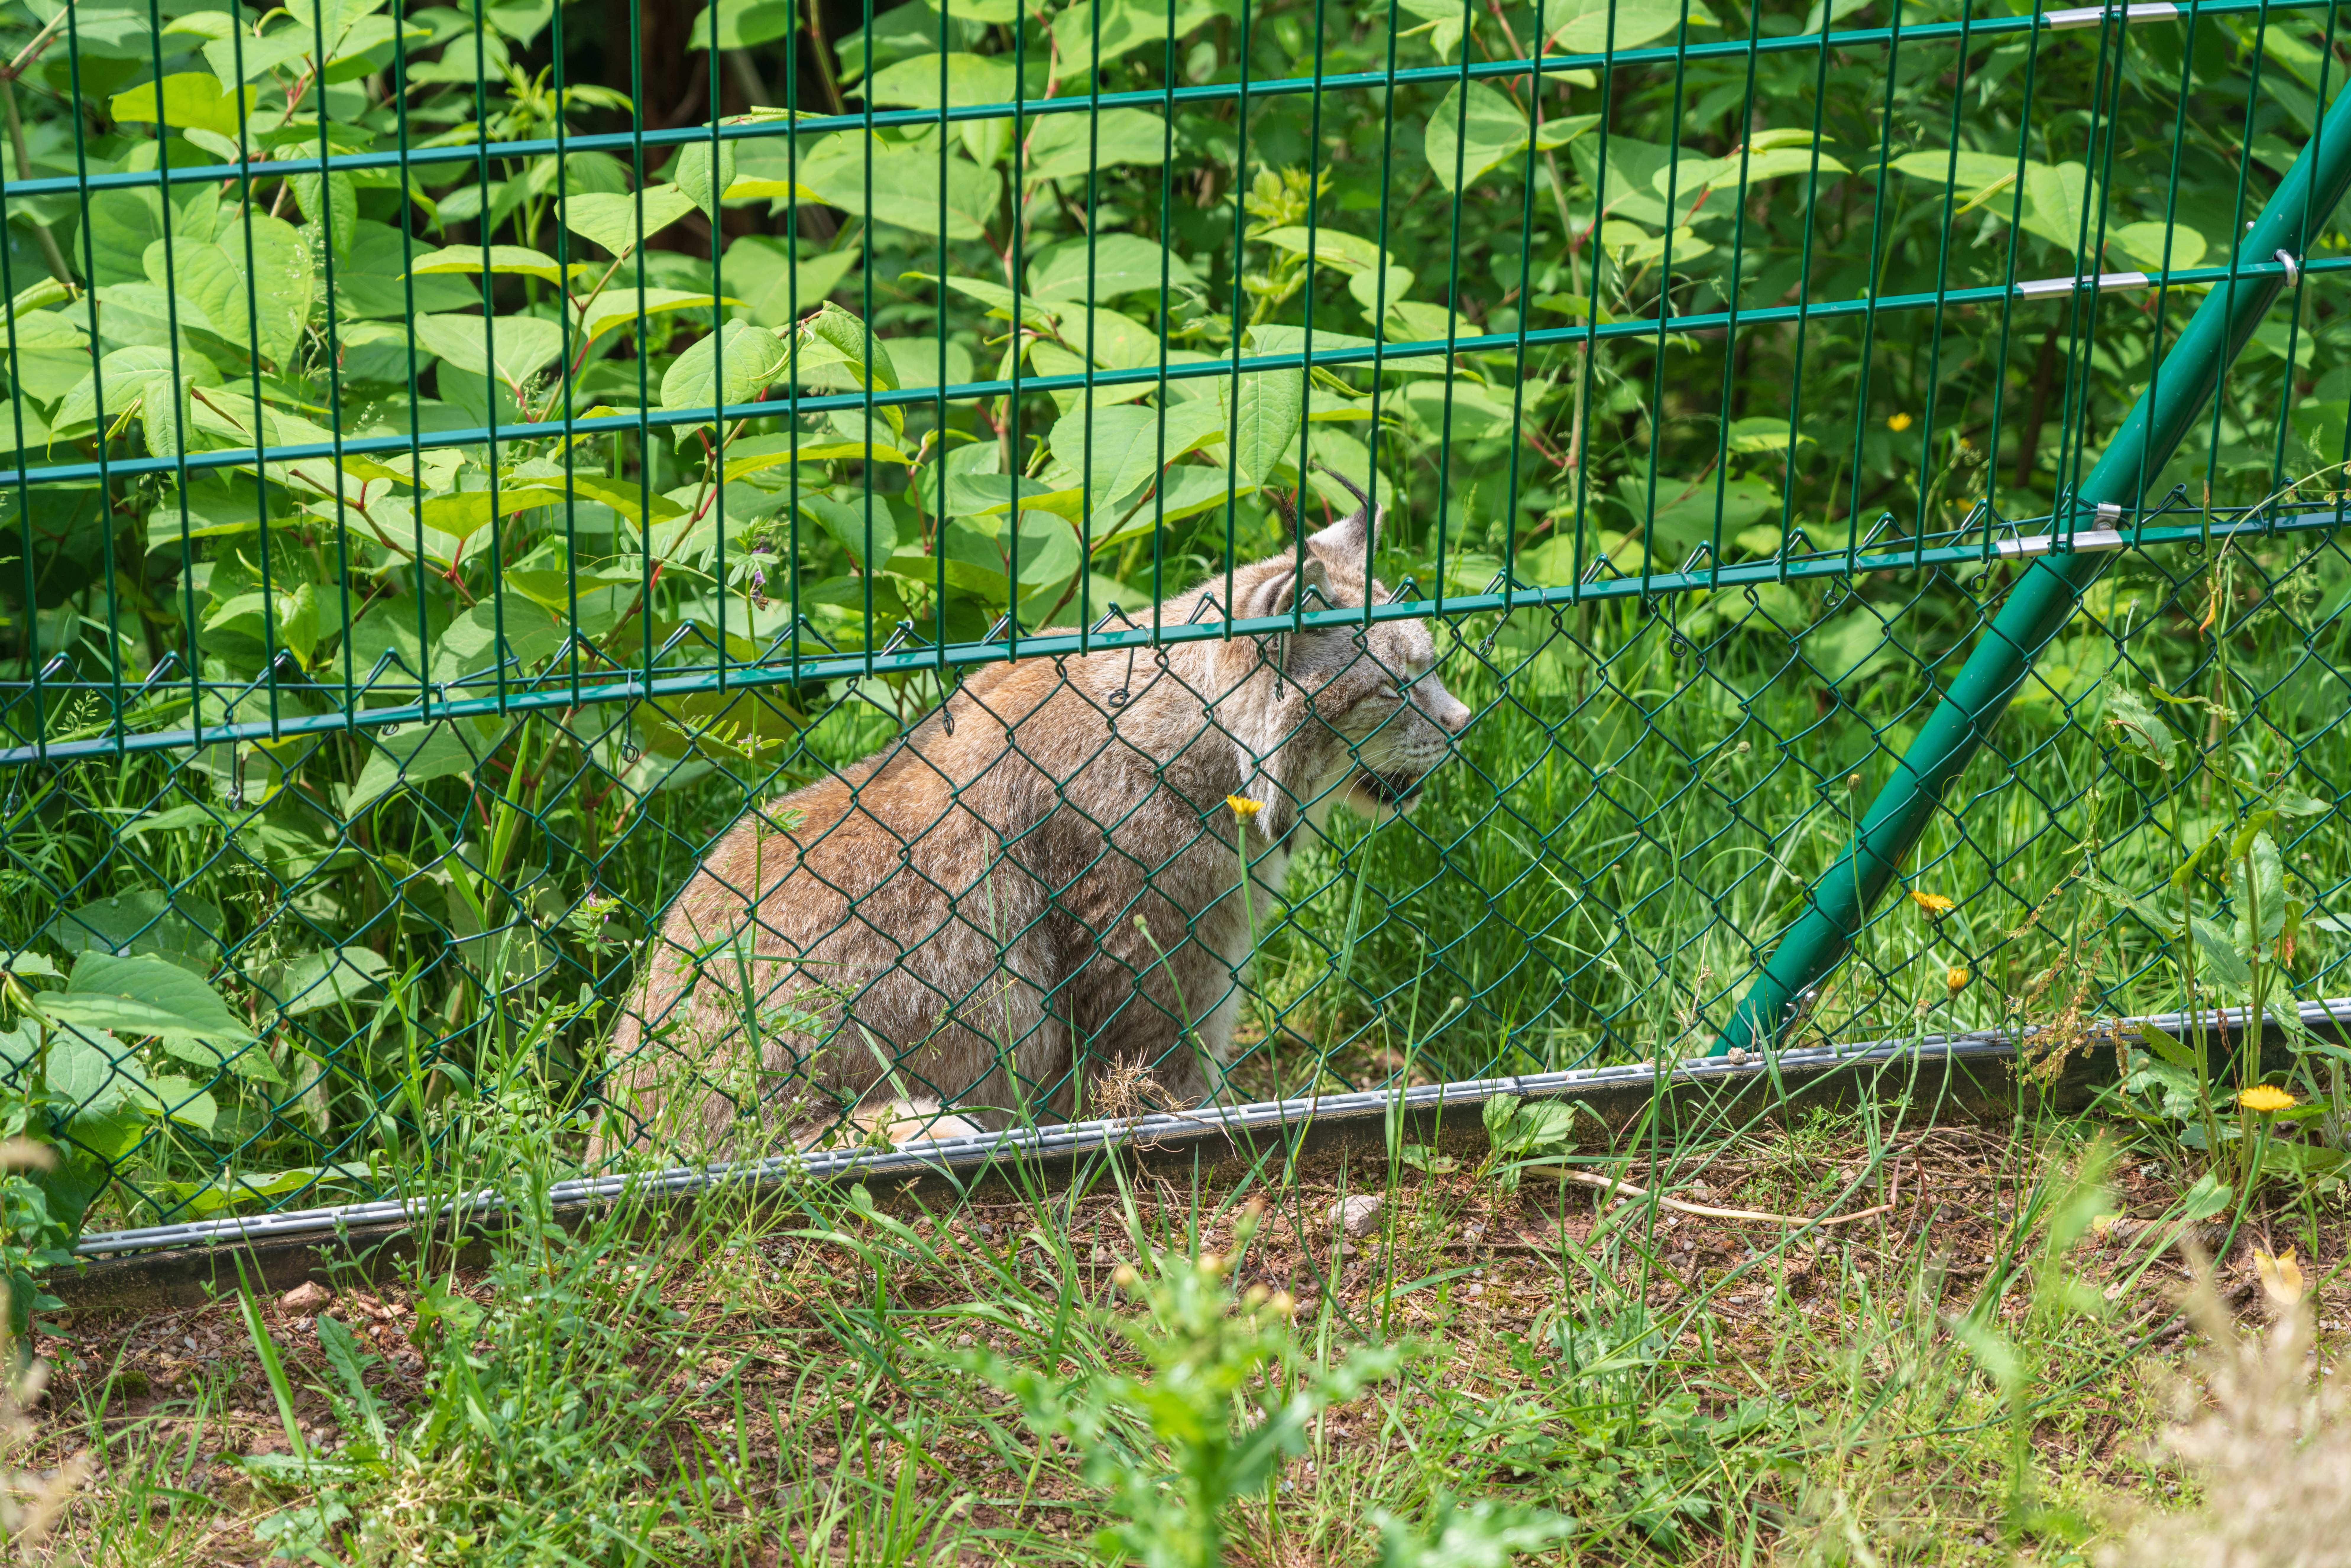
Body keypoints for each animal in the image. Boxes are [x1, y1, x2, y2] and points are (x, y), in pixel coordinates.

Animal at [596, 475, 1471, 1154]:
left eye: (1430, 668)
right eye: (1395, 687)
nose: (1465, 725)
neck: (1223, 757)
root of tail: (607, 1132)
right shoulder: (1157, 986)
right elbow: (1175, 1105)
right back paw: (919, 1127)